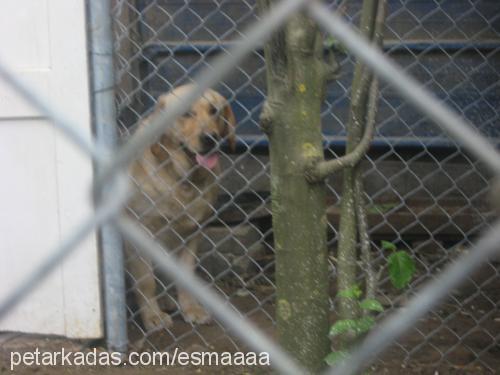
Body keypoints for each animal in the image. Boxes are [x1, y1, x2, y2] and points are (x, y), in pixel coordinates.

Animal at [124, 83, 235, 330]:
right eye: (185, 113)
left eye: (214, 111)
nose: (210, 138)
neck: (183, 181)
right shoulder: (140, 231)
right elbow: (146, 281)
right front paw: (152, 316)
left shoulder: (193, 233)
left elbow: (185, 276)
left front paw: (190, 309)